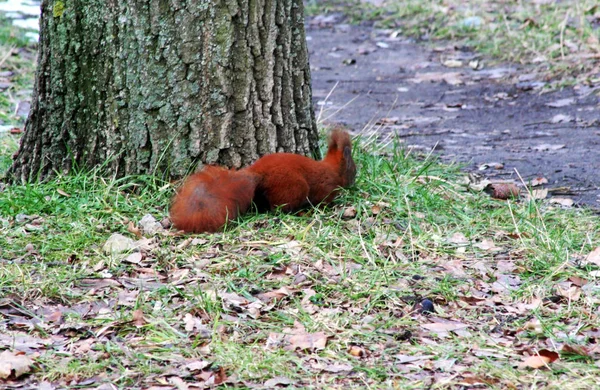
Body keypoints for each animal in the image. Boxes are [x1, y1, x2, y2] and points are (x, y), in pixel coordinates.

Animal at [169, 128, 356, 233]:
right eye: (353, 170)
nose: (354, 180)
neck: (333, 170)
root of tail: (257, 174)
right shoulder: (326, 188)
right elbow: (324, 200)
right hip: (294, 188)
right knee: (280, 209)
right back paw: (301, 212)